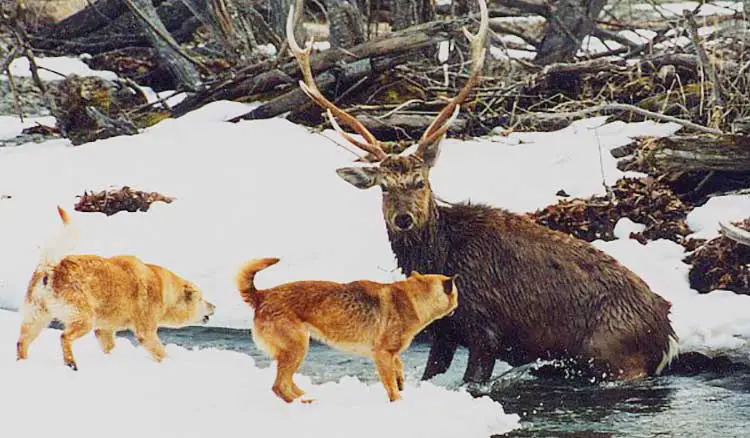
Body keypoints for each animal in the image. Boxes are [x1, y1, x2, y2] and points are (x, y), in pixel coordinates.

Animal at [16, 206, 216, 370]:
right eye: (202, 298)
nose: (214, 306)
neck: (164, 291)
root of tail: (52, 268)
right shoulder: (146, 331)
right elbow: (160, 351)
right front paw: (171, 363)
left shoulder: (104, 330)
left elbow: (109, 346)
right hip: (83, 317)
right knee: (64, 337)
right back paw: (70, 362)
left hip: (37, 317)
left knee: (21, 341)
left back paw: (23, 362)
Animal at [235, 256, 458, 404]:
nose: (459, 308)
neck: (414, 298)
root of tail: (262, 295)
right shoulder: (382, 354)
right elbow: (391, 385)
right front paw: (398, 400)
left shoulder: (390, 353)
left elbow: (398, 366)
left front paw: (401, 381)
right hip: (297, 348)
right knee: (279, 386)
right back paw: (304, 403)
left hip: (295, 350)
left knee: (286, 383)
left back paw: (305, 396)